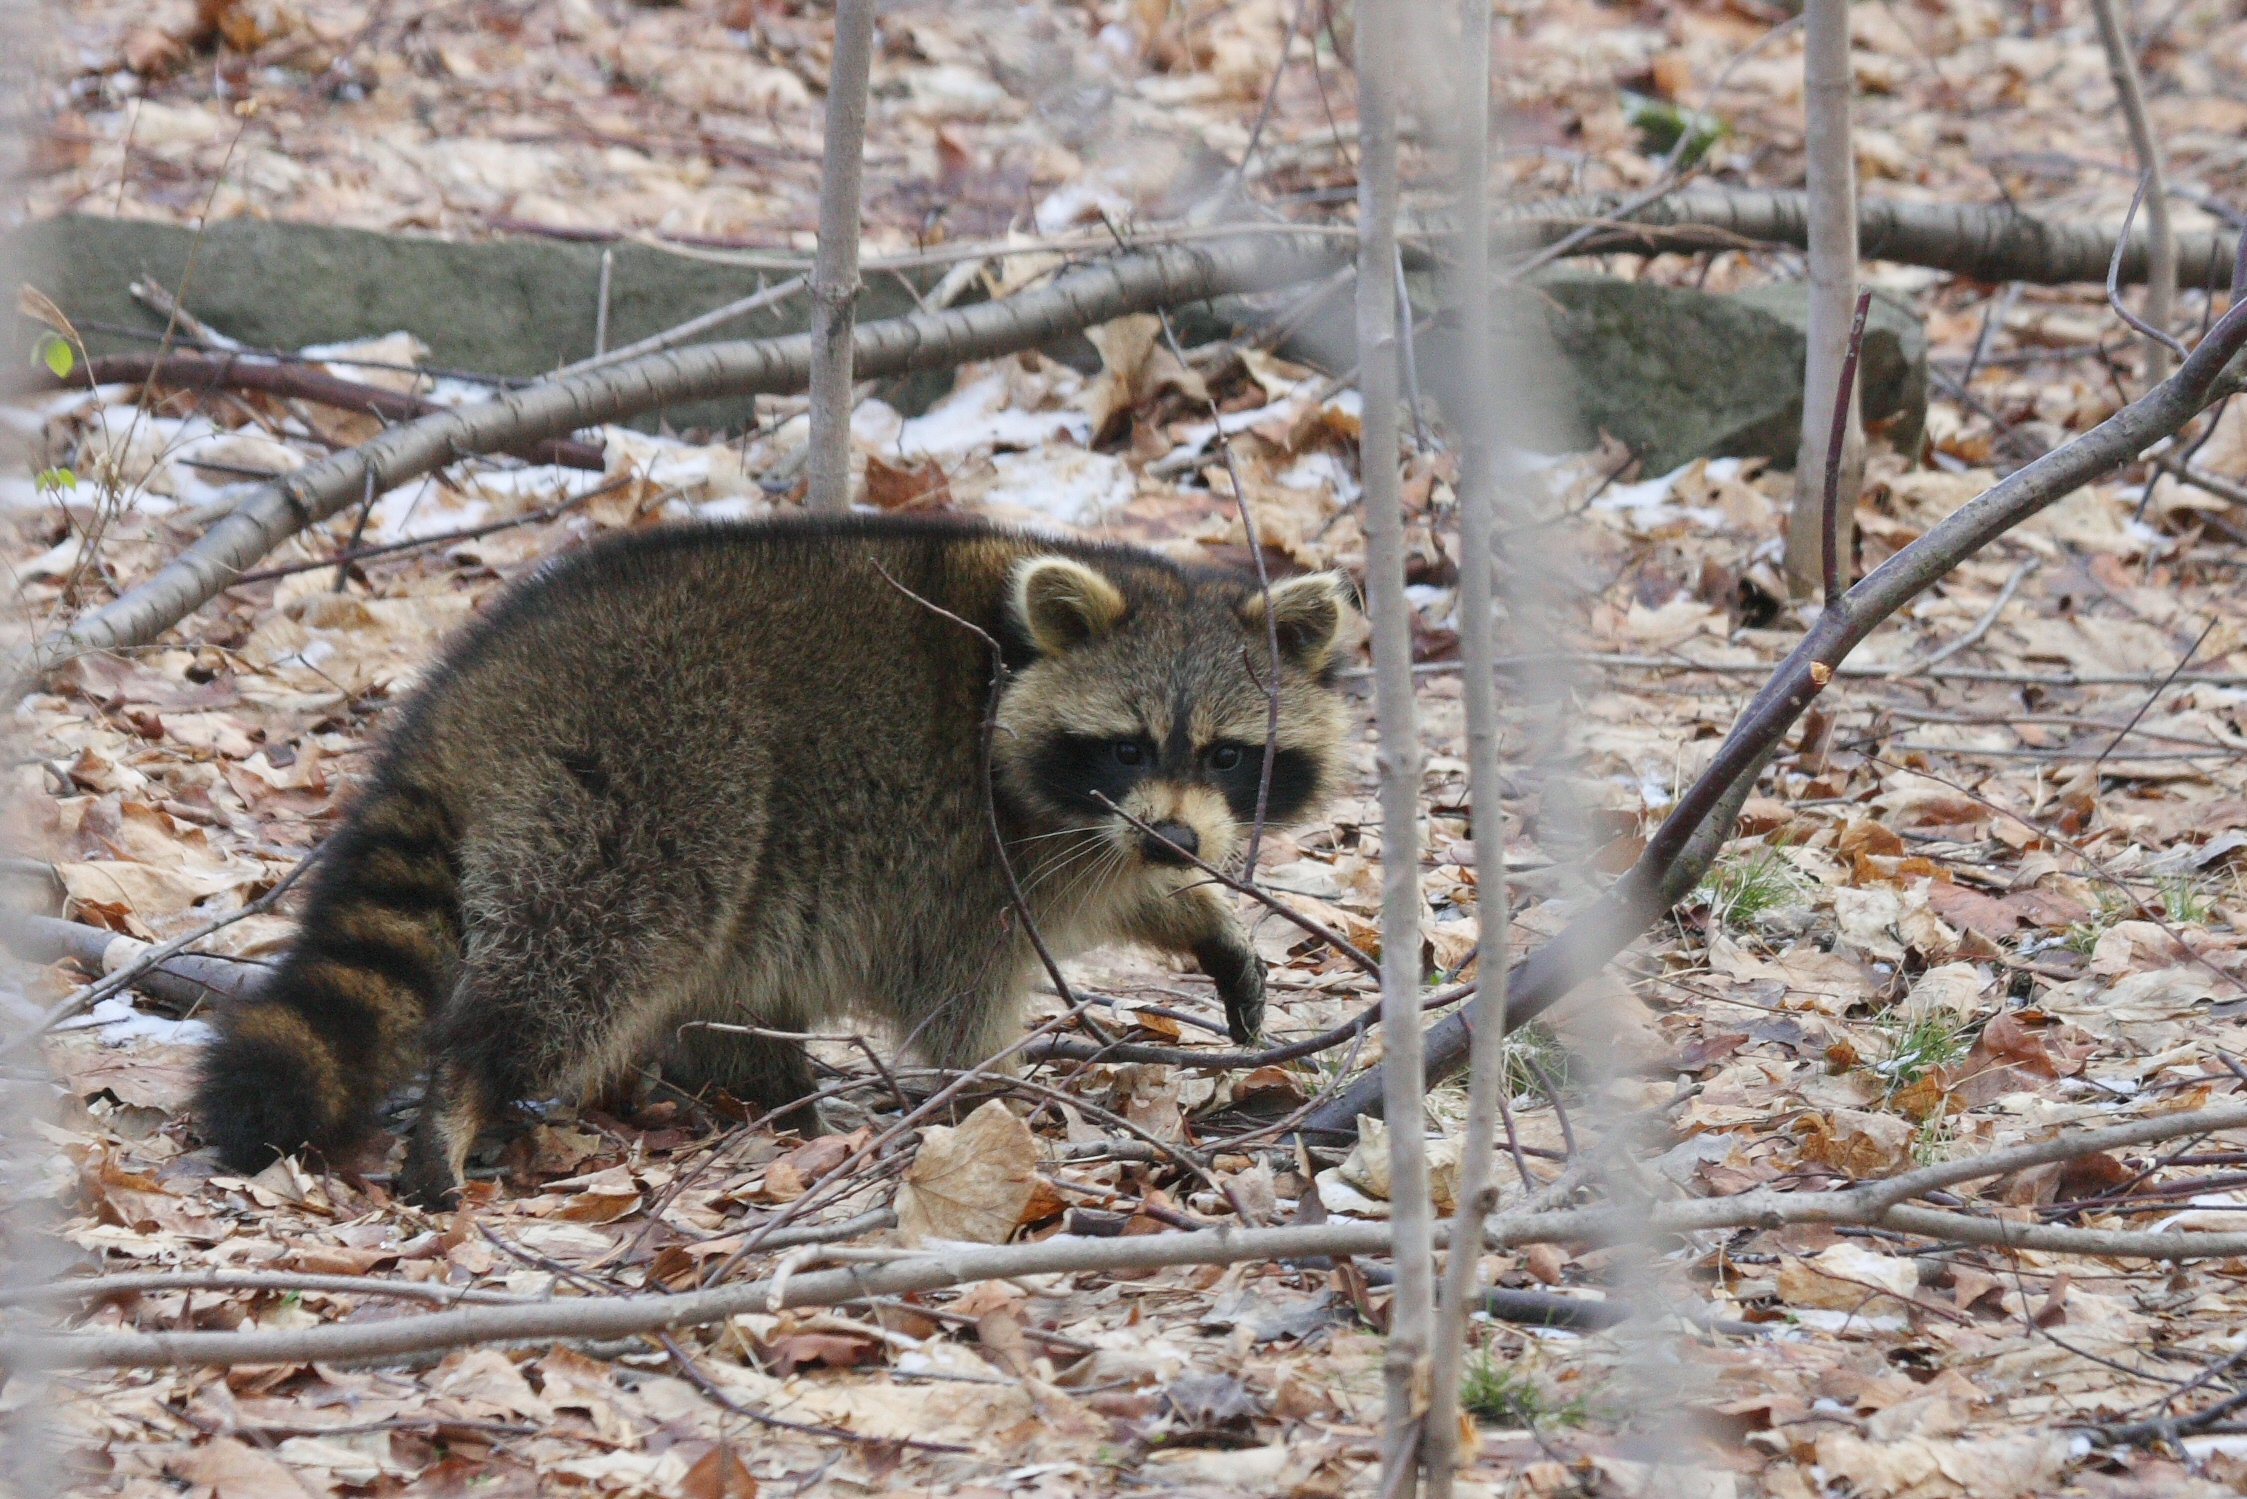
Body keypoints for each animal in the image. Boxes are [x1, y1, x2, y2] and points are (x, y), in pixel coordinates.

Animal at [193, 516, 1348, 1204]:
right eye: (1126, 745)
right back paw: (469, 1086)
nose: (1175, 838)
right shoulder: (976, 853)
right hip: (653, 772)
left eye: (1228, 753)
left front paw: (1198, 911)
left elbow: (1115, 887)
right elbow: (963, 994)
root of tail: (482, 679)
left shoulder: (1080, 835)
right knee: (597, 950)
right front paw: (990, 1103)